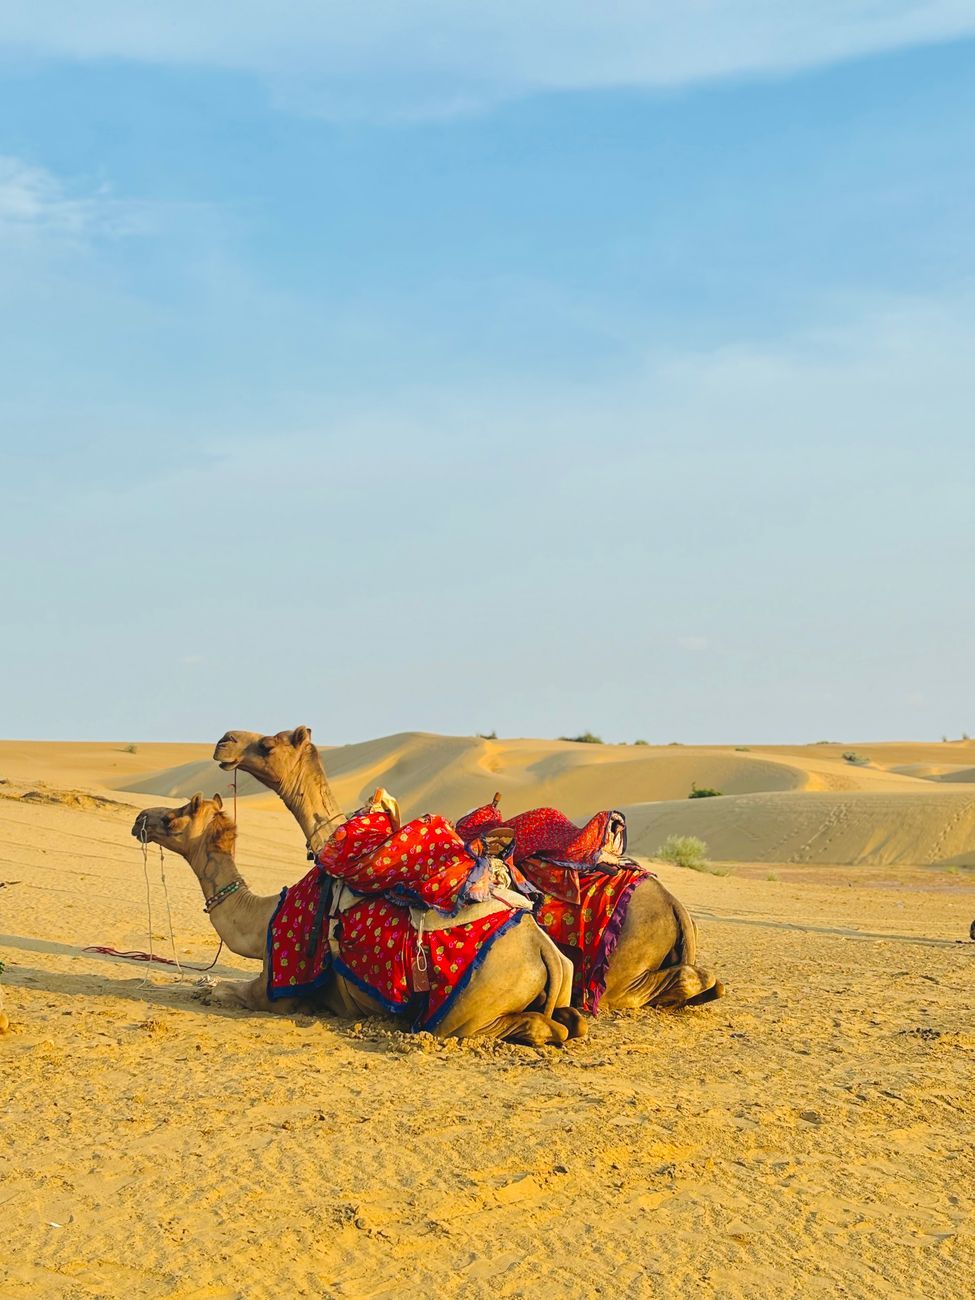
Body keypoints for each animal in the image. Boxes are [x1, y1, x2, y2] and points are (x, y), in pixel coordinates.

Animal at [131, 793, 585, 1044]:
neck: (263, 918)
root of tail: (544, 950)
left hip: (467, 1012)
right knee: (570, 1022)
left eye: (174, 816)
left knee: (534, 1028)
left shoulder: (276, 991)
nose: (140, 819)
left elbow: (225, 991)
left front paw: (207, 989)